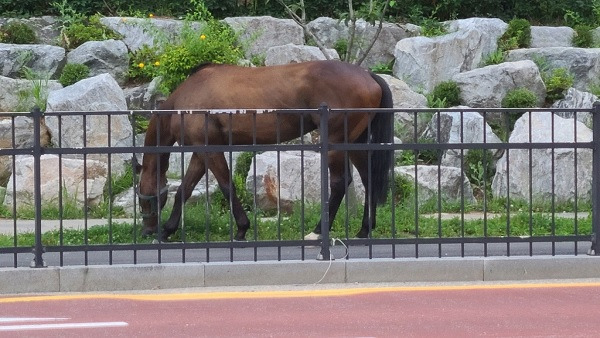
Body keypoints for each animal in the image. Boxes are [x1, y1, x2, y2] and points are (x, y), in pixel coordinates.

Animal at [136, 60, 394, 240]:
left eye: (143, 198)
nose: (147, 230)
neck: (187, 98)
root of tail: (368, 75)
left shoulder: (209, 151)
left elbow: (226, 186)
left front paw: (242, 228)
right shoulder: (201, 153)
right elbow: (184, 190)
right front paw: (168, 230)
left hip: (336, 143)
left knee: (340, 183)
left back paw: (318, 231)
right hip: (356, 142)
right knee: (368, 178)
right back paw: (364, 230)